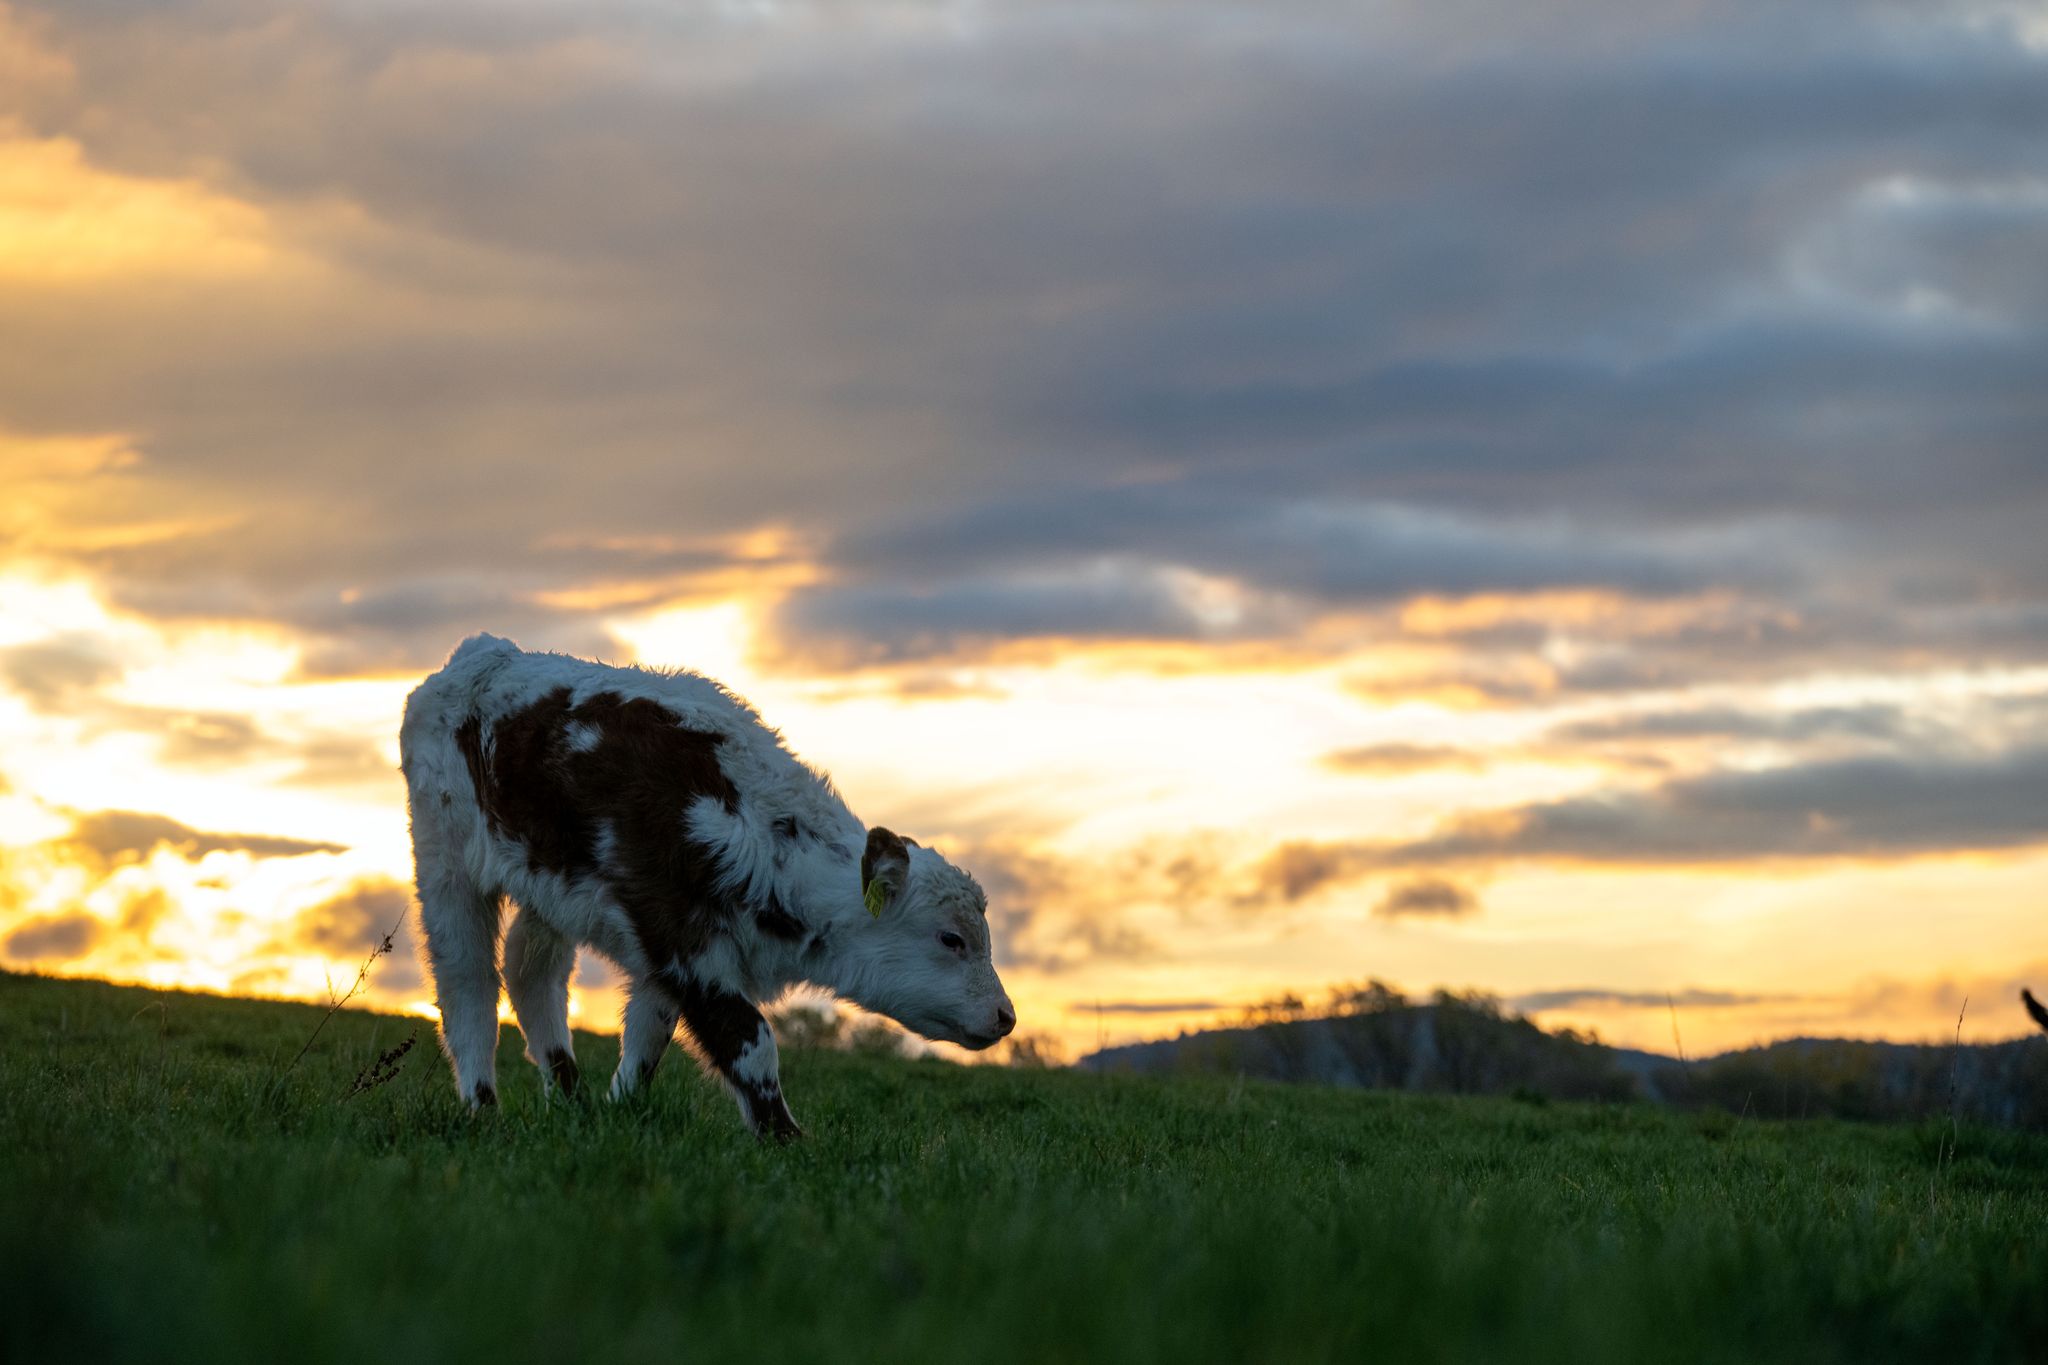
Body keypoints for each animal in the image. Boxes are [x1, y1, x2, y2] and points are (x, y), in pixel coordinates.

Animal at [397, 634, 1015, 1137]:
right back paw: (483, 1108)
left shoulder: (663, 955)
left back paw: (570, 1100)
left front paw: (619, 1114)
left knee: (532, 972)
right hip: (444, 859)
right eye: (951, 939)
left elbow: (648, 1036)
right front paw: (787, 1141)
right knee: (467, 983)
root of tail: (481, 653)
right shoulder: (682, 942)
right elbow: (750, 1043)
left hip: (547, 888)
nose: (1006, 1016)